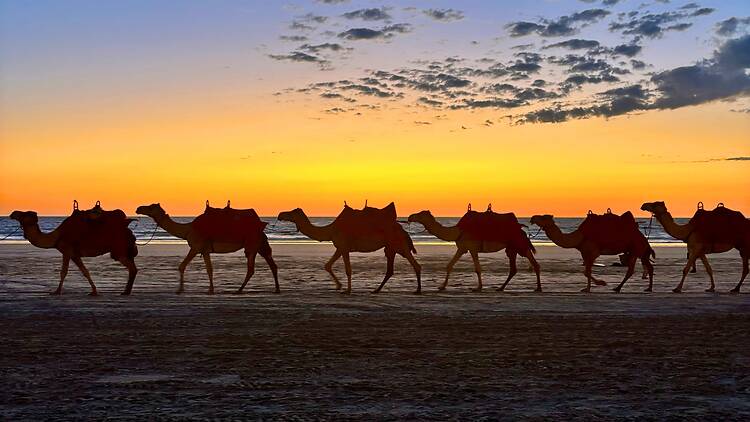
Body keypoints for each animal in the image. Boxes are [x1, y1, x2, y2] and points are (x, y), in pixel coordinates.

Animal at [9, 203, 138, 295]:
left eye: (25, 214)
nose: (13, 213)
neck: (57, 236)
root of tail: (126, 224)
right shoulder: (75, 255)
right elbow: (85, 271)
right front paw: (94, 291)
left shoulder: (66, 251)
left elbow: (63, 272)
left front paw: (57, 292)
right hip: (123, 250)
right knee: (133, 268)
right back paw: (126, 291)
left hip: (119, 249)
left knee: (132, 268)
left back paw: (126, 292)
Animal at [135, 203, 279, 294]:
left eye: (151, 206)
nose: (138, 208)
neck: (188, 229)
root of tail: (261, 225)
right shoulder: (205, 251)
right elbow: (209, 269)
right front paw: (210, 289)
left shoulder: (196, 247)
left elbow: (182, 266)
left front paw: (180, 290)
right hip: (260, 244)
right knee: (271, 264)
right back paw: (276, 289)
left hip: (252, 244)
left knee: (251, 268)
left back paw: (239, 290)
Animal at [277, 203, 421, 294]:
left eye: (291, 212)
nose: (279, 214)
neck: (330, 230)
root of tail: (402, 230)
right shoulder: (339, 247)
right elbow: (327, 265)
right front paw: (339, 286)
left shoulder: (344, 247)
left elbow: (348, 270)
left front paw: (347, 290)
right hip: (391, 248)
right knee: (391, 270)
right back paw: (376, 290)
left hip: (399, 245)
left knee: (415, 265)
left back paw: (417, 290)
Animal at [408, 208, 541, 292]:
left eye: (420, 213)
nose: (410, 216)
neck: (458, 231)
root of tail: (521, 229)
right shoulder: (462, 248)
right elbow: (449, 265)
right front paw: (442, 286)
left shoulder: (472, 248)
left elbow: (478, 268)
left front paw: (478, 287)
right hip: (512, 248)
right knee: (514, 269)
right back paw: (501, 288)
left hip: (520, 245)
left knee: (533, 263)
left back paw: (538, 288)